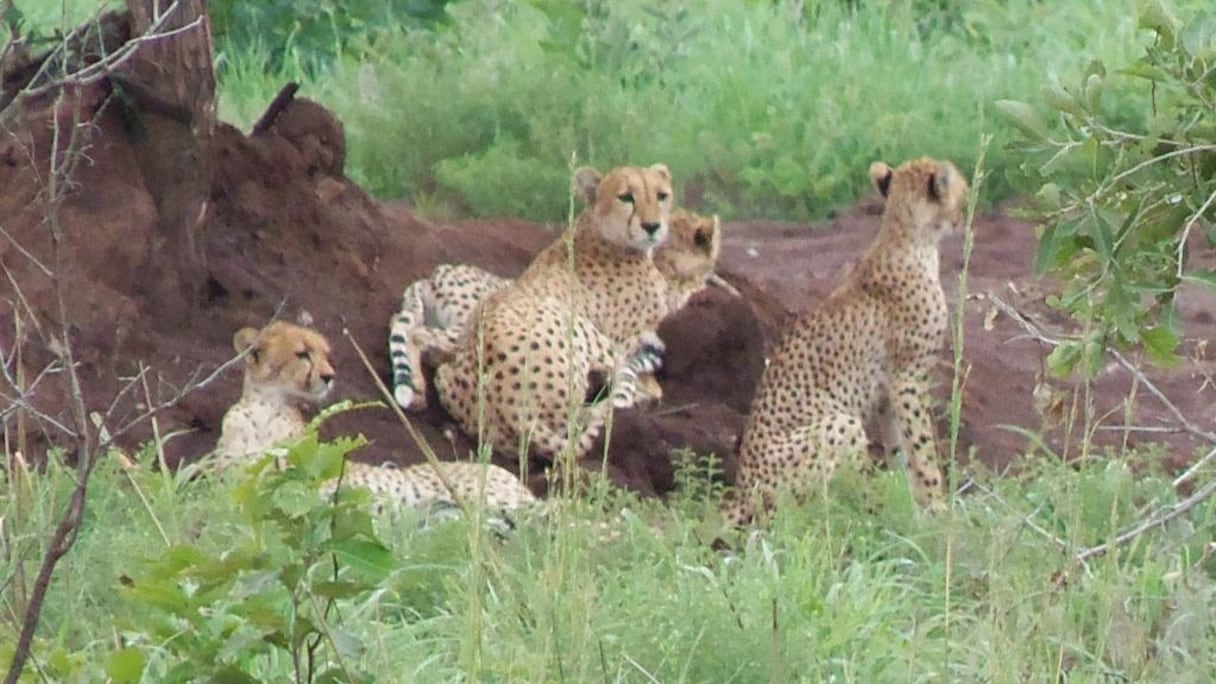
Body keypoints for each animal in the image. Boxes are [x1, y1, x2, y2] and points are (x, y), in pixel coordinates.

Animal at [432, 163, 680, 467]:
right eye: (625, 197)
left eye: (661, 195)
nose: (652, 226)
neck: (596, 230)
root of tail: (515, 406)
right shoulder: (624, 339)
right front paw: (649, 387)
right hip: (578, 327)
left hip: (445, 375)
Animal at [722, 156, 968, 528]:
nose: (963, 217)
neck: (908, 238)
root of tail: (739, 490)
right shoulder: (908, 377)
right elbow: (922, 449)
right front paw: (937, 509)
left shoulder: (890, 391)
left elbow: (900, 450)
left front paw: (912, 510)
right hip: (841, 425)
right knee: (808, 513)